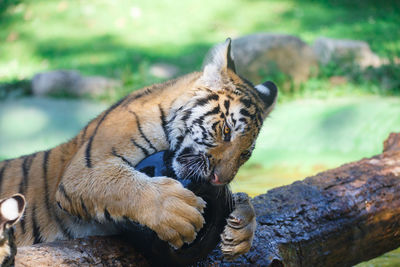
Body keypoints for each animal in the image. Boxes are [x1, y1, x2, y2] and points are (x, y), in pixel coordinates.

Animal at [0, 38, 276, 262]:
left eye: (245, 154)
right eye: (227, 130)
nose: (220, 179)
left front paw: (242, 228)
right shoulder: (84, 171)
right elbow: (123, 184)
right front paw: (177, 211)